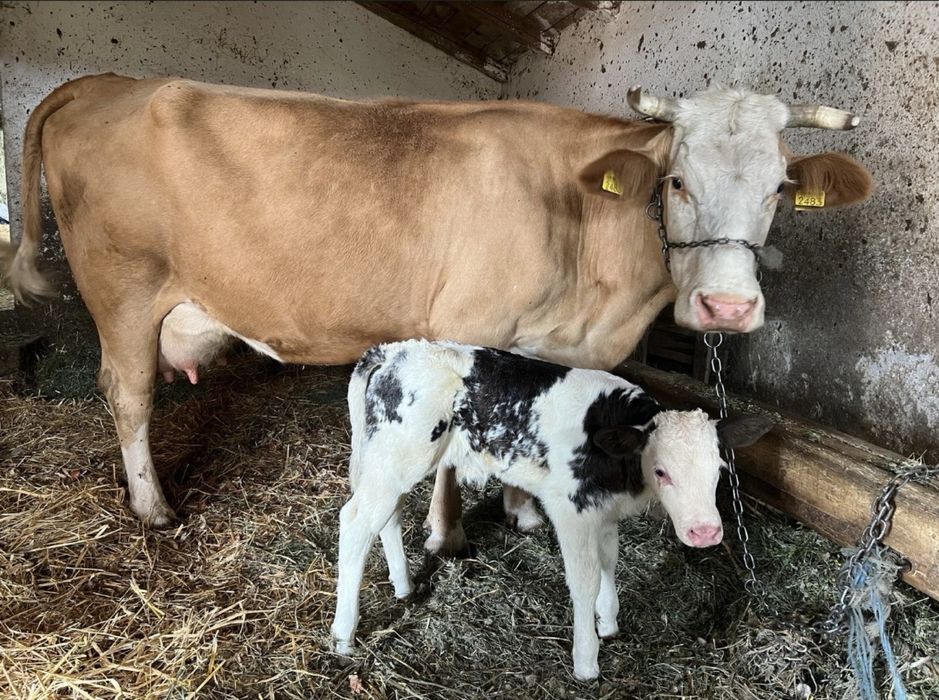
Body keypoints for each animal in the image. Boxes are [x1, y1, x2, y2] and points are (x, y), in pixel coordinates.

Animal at [0, 74, 871, 542]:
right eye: (677, 182)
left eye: (779, 188)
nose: (725, 307)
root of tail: (109, 83)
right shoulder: (469, 329)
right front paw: (449, 534)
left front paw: (524, 512)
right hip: (123, 291)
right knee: (127, 395)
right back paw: (152, 507)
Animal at [330, 339, 774, 680]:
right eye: (662, 470)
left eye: (719, 470)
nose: (706, 532)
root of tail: (393, 351)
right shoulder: (570, 510)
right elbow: (584, 580)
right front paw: (586, 661)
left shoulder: (603, 512)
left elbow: (609, 563)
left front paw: (608, 622)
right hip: (399, 458)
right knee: (354, 523)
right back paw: (343, 634)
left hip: (392, 462)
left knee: (388, 516)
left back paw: (403, 586)